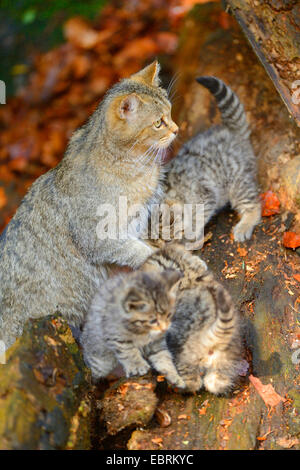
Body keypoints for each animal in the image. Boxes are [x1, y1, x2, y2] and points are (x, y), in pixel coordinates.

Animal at [165, 76, 262, 246]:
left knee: (251, 203)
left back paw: (246, 223)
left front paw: (189, 233)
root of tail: (230, 131)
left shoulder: (203, 194)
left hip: (237, 179)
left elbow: (197, 216)